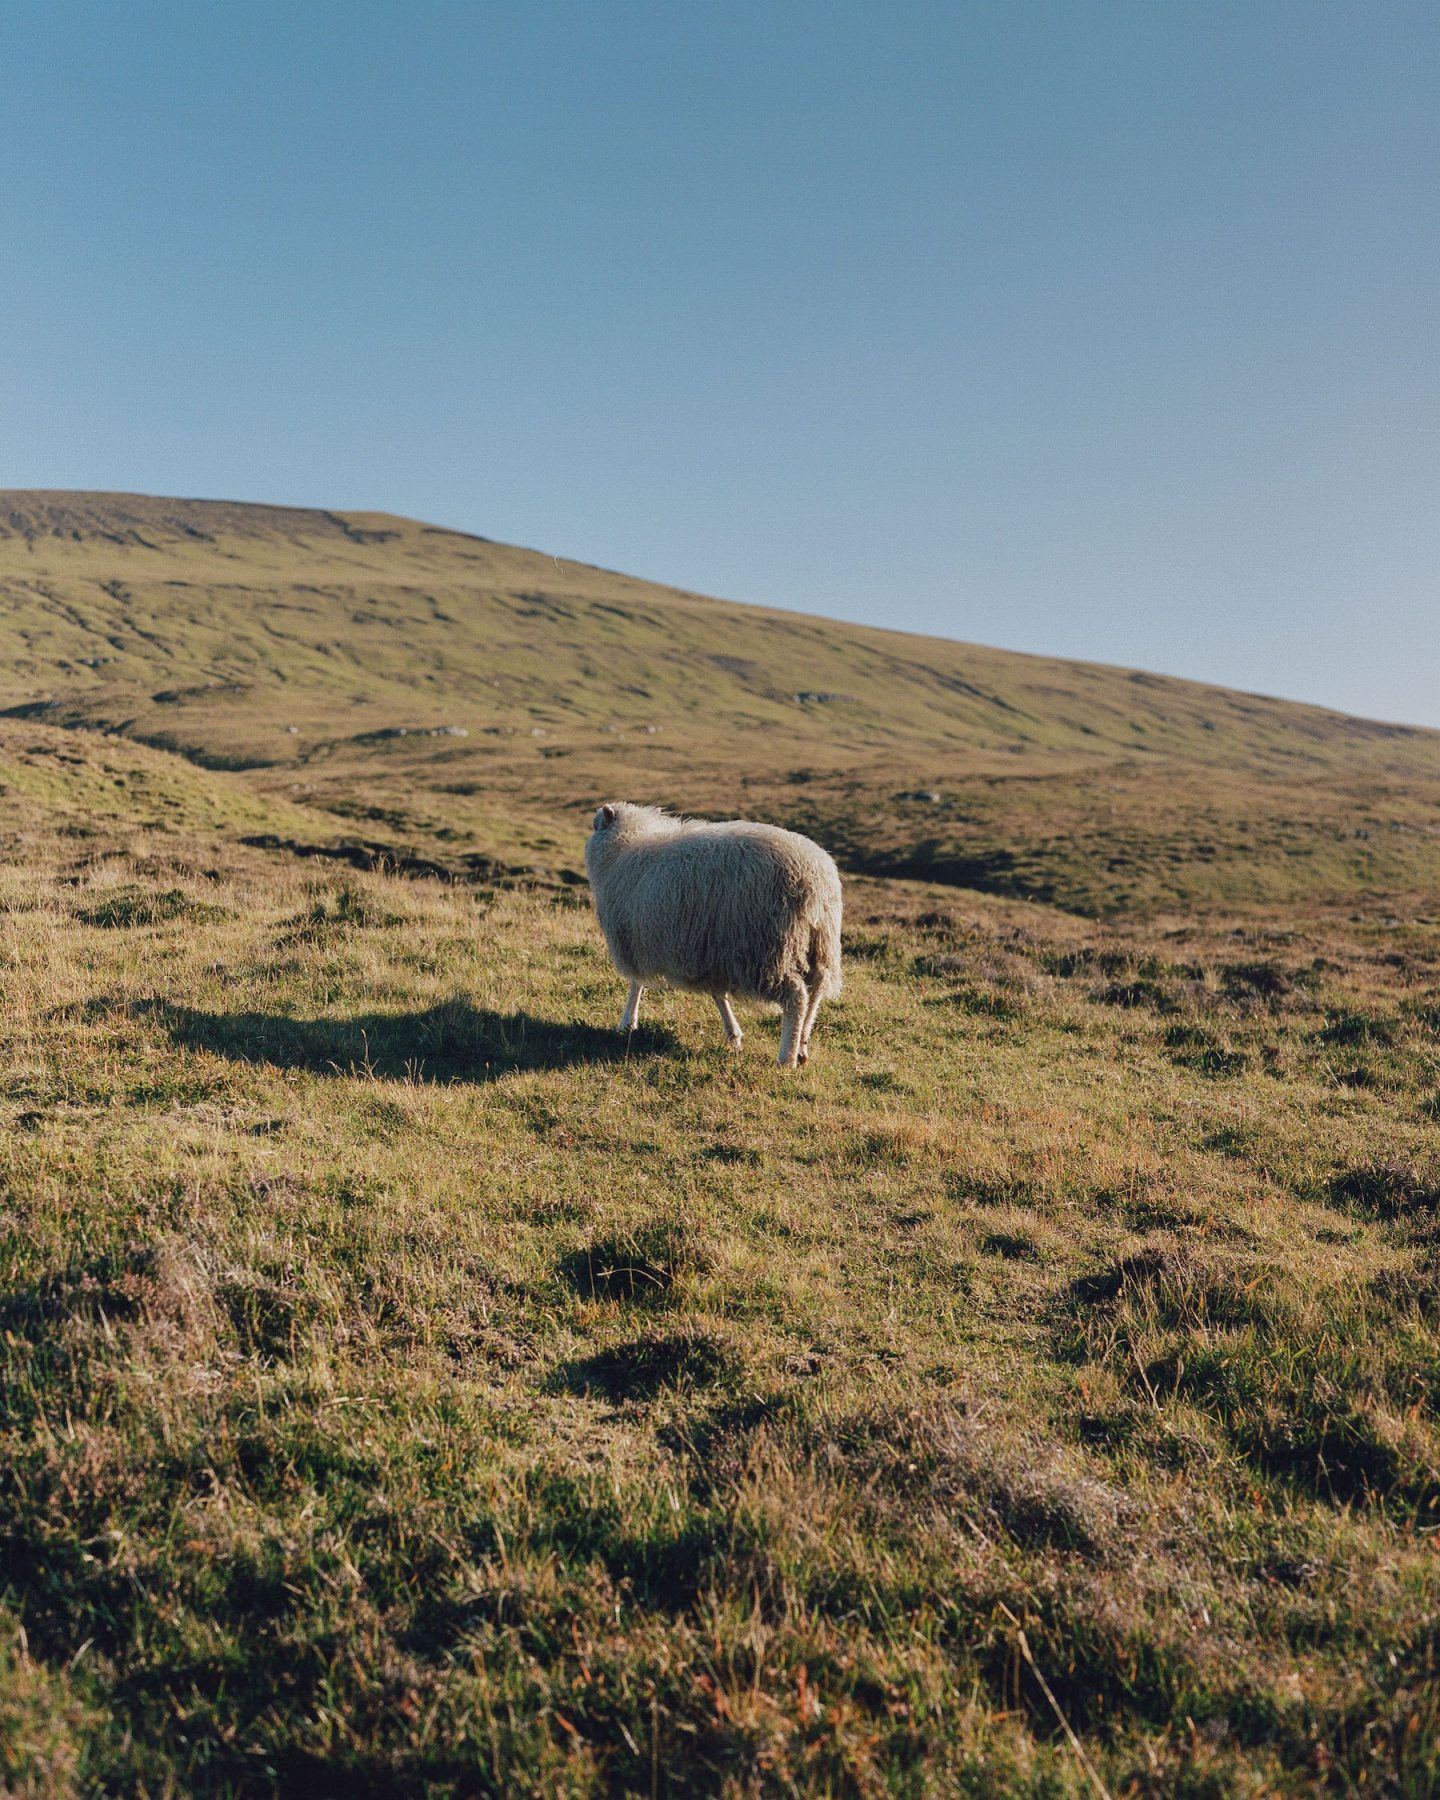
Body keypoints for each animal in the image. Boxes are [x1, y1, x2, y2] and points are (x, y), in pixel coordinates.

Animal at [583, 802, 842, 1065]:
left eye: (594, 825)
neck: (623, 846)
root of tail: (813, 880)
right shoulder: (709, 954)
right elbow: (718, 994)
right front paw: (733, 1035)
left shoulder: (634, 939)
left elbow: (636, 983)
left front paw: (627, 1022)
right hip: (819, 944)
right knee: (816, 991)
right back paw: (802, 1046)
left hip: (766, 950)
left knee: (796, 996)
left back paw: (786, 1057)